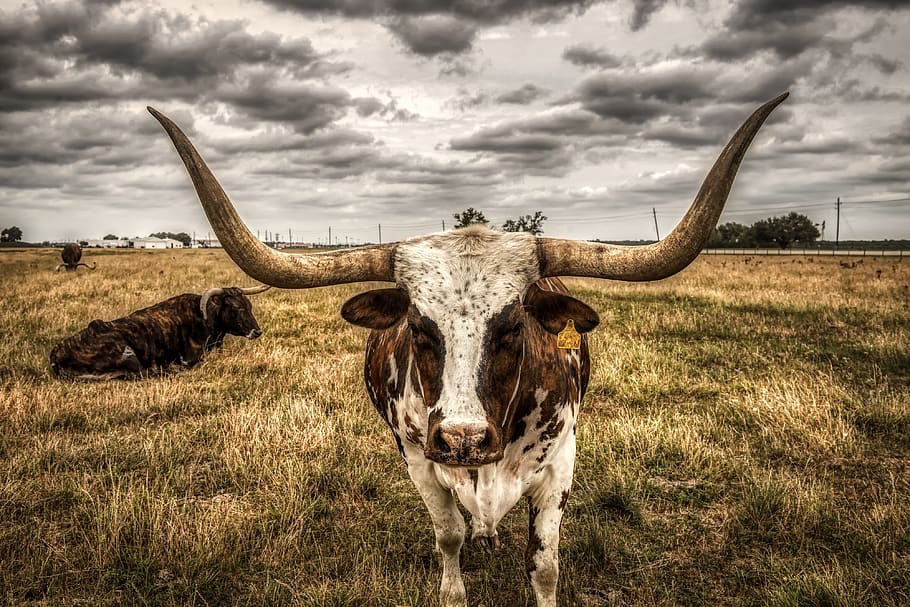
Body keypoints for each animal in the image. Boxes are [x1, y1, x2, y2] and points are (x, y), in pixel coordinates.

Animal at [50, 286, 268, 380]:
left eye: (249, 305)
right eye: (236, 307)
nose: (257, 331)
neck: (202, 316)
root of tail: (56, 351)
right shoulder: (190, 358)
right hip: (127, 353)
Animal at [146, 91, 788, 607]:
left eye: (512, 327)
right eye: (418, 328)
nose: (463, 438)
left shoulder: (560, 464)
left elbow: (545, 566)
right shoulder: (417, 457)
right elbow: (449, 536)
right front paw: (454, 584)